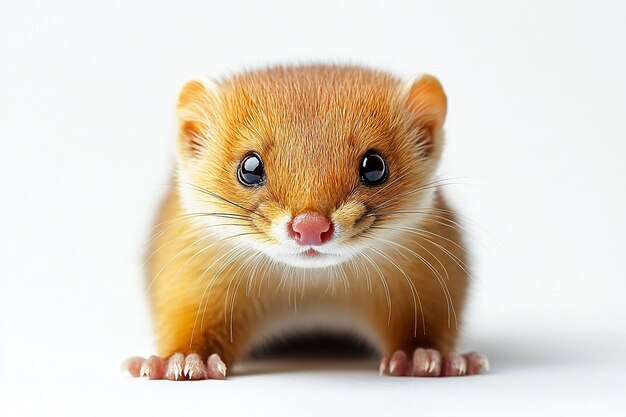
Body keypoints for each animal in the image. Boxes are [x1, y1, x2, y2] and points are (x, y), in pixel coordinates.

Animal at [123, 65, 488, 380]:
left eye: (374, 165)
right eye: (250, 167)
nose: (310, 225)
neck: (310, 295)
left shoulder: (432, 277)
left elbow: (427, 323)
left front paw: (425, 357)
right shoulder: (187, 278)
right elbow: (186, 322)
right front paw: (183, 360)